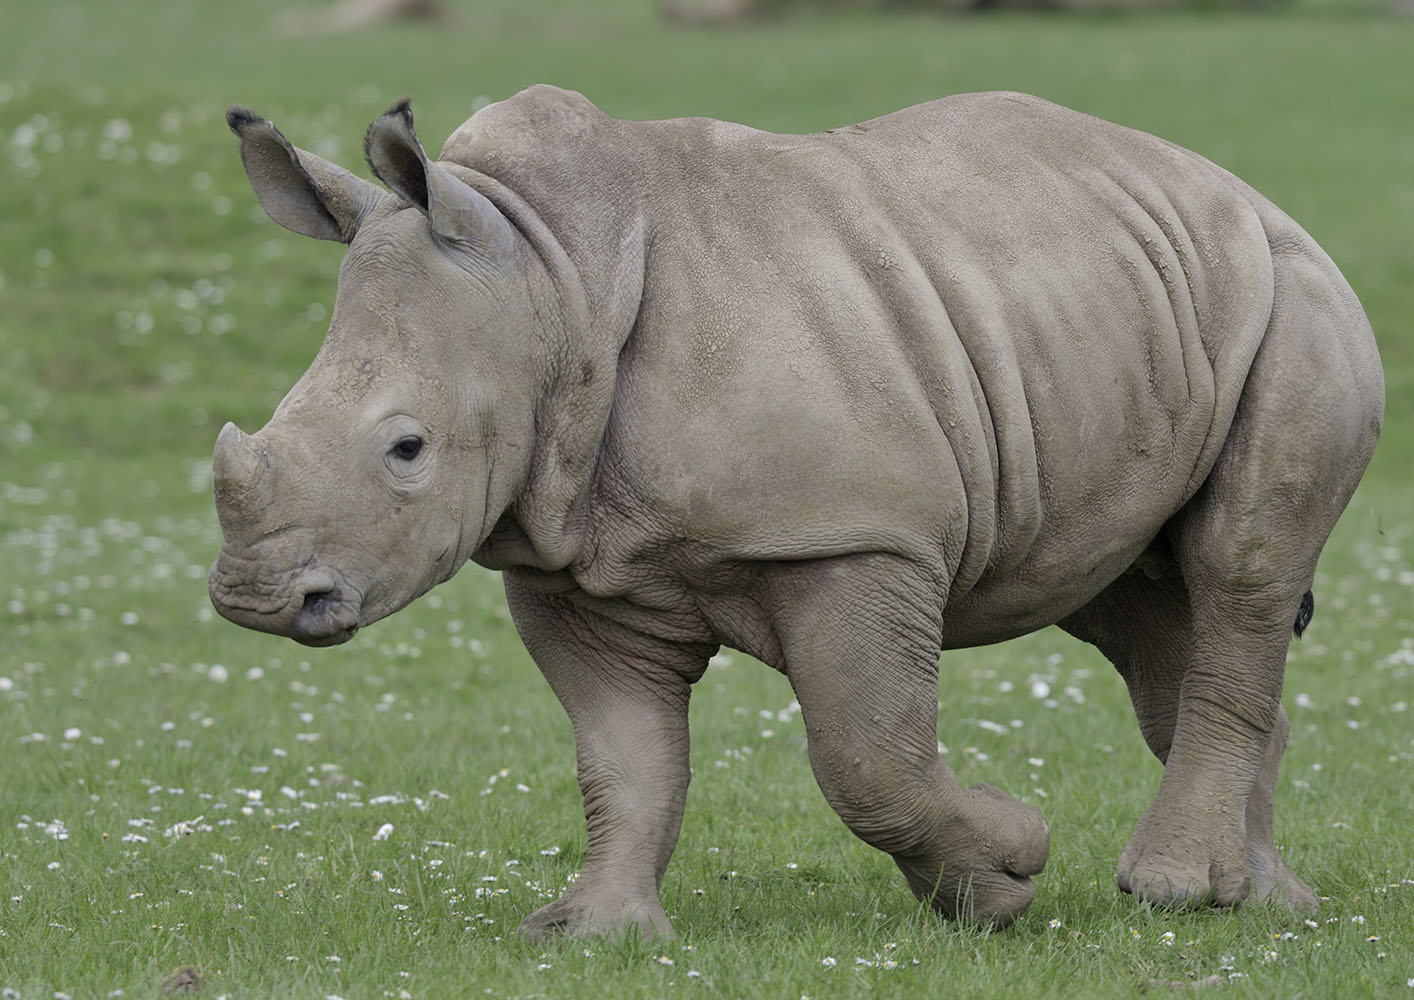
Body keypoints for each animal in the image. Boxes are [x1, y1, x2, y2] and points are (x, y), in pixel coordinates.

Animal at [210, 86, 1383, 938]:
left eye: (407, 450)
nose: (252, 596)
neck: (550, 275)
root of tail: (1248, 197)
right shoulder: (567, 557)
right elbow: (621, 759)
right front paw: (591, 932)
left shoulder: (855, 535)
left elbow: (869, 758)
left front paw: (1005, 874)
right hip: (1132, 321)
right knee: (1135, 602)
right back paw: (1264, 904)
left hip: (1299, 301)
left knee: (1238, 566)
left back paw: (1177, 891)